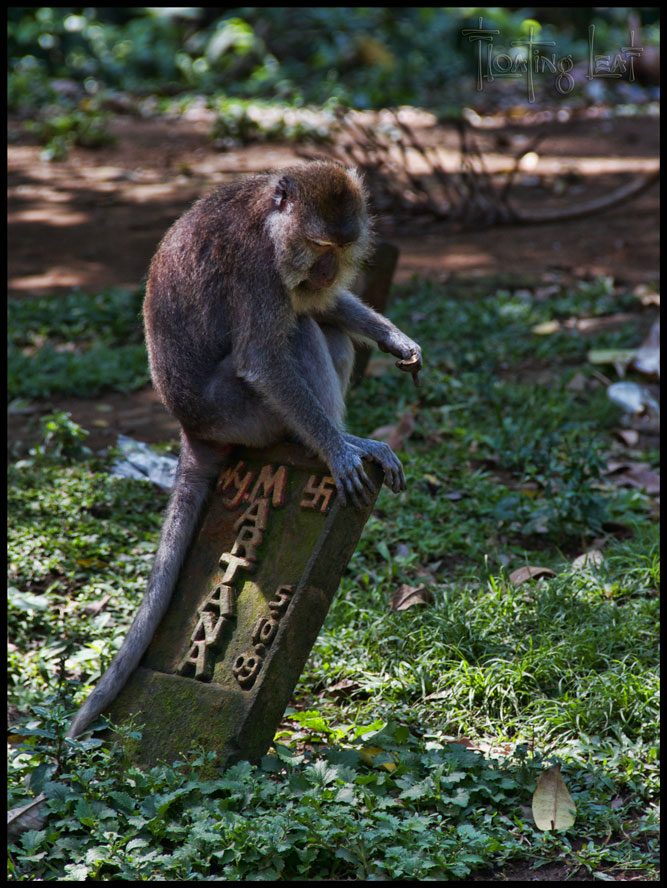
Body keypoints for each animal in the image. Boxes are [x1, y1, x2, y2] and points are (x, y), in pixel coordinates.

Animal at [68, 161, 422, 744]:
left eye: (342, 247)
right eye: (319, 244)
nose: (328, 271)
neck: (271, 221)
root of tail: (189, 426)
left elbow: (321, 304)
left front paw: (395, 339)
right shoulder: (257, 270)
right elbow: (264, 355)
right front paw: (338, 449)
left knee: (321, 324)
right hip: (238, 412)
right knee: (297, 334)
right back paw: (331, 442)